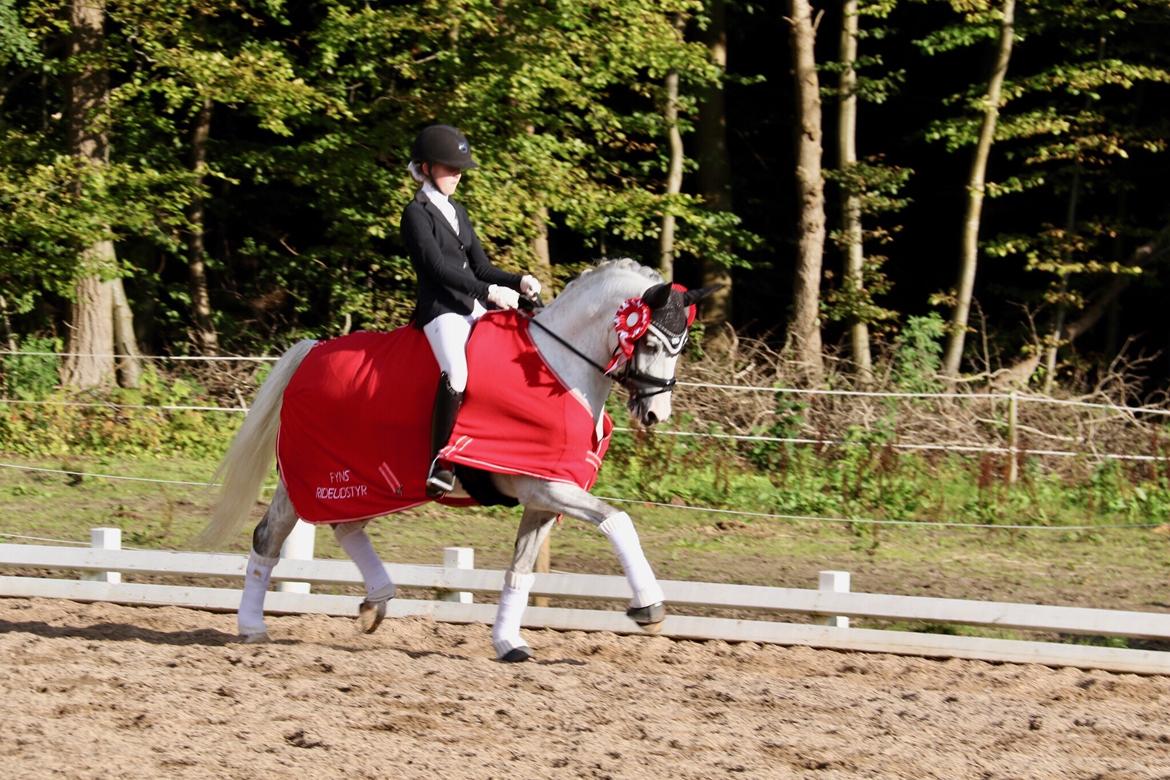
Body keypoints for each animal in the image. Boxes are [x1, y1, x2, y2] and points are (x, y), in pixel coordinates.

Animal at [196, 259, 716, 664]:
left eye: (681, 345)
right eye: (651, 343)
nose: (655, 414)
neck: (557, 368)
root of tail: (312, 351)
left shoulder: (542, 498)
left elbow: (519, 571)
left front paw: (508, 643)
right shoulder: (547, 487)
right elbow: (618, 520)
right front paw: (649, 608)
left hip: (363, 481)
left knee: (346, 527)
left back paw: (376, 602)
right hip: (313, 478)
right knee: (270, 537)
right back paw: (252, 628)